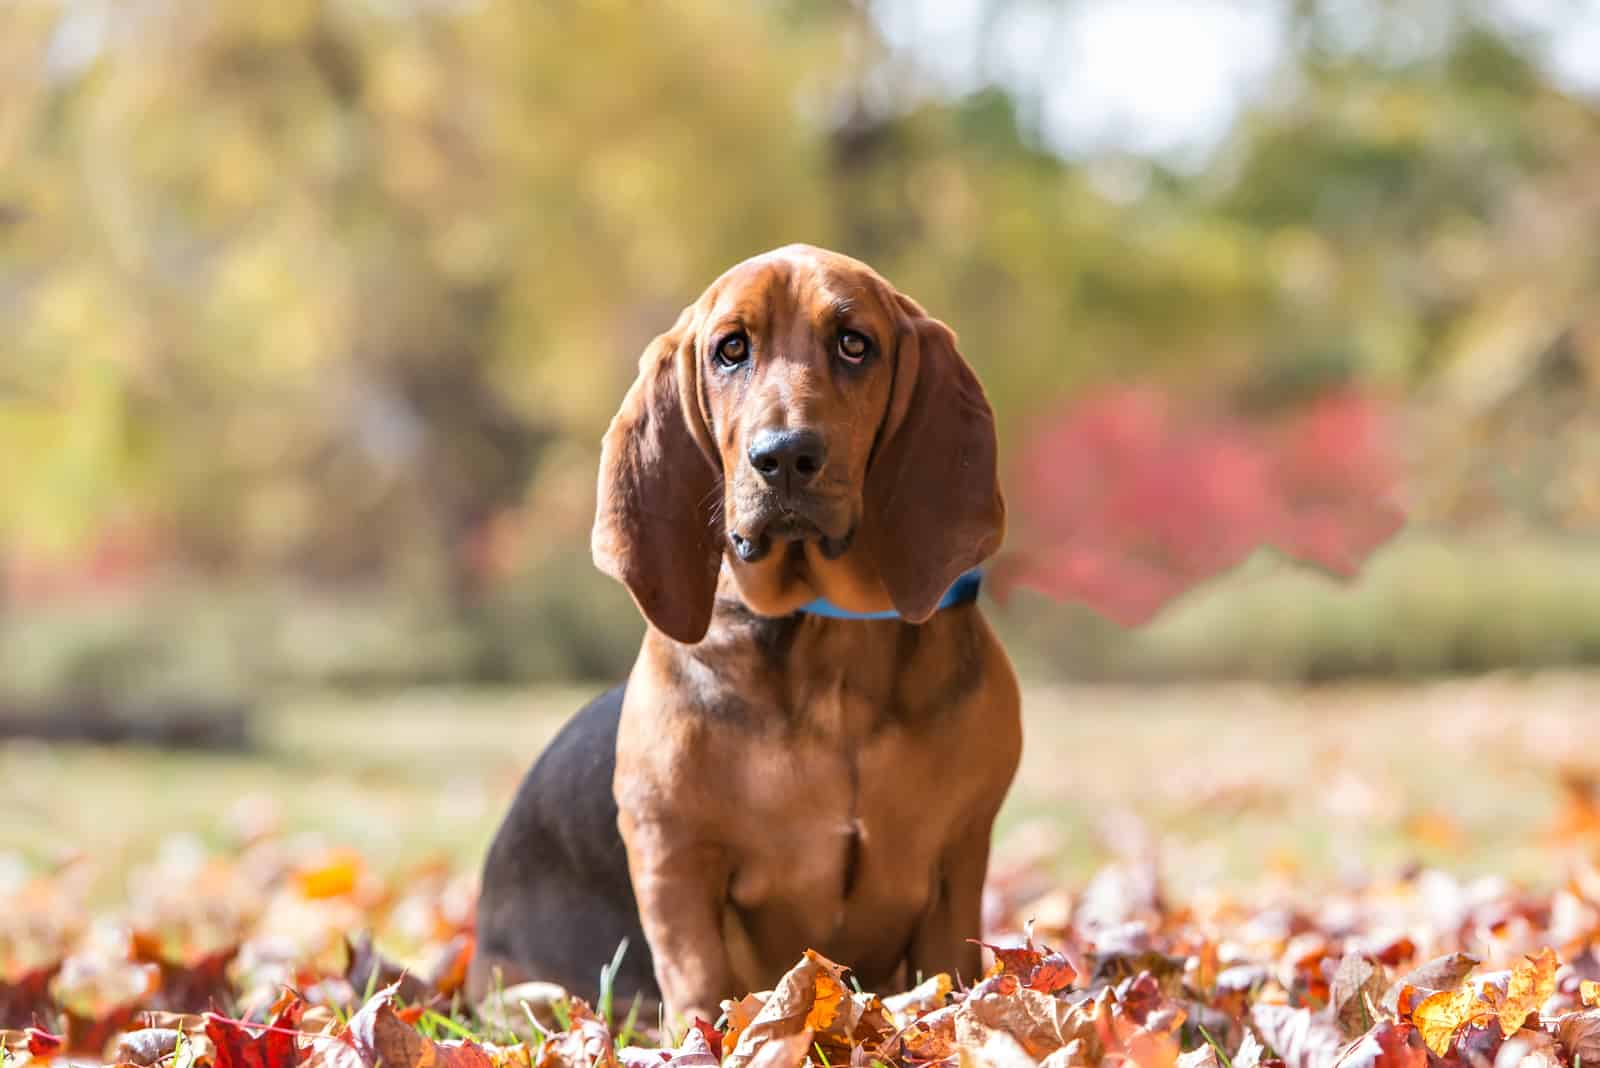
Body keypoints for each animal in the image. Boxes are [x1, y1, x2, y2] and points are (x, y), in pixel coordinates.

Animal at [473, 244, 1017, 1023]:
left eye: (855, 344)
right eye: (731, 350)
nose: (784, 455)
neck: (828, 630)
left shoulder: (958, 861)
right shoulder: (674, 857)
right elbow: (700, 980)